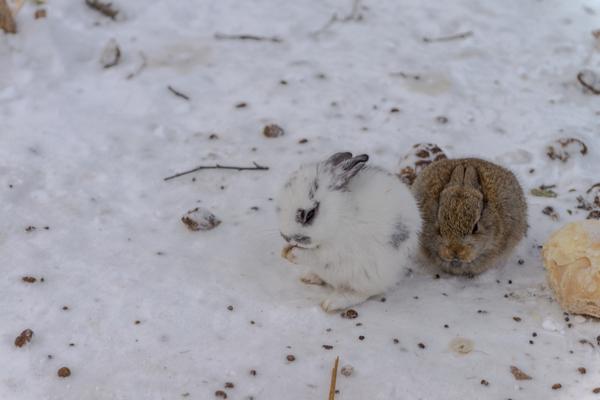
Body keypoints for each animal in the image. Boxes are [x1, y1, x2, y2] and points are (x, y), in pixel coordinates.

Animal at [276, 152, 422, 310]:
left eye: (309, 214)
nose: (285, 236)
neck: (337, 216)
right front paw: (284, 251)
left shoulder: (335, 250)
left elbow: (315, 255)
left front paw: (292, 254)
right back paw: (309, 277)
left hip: (366, 277)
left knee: (362, 293)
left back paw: (332, 303)